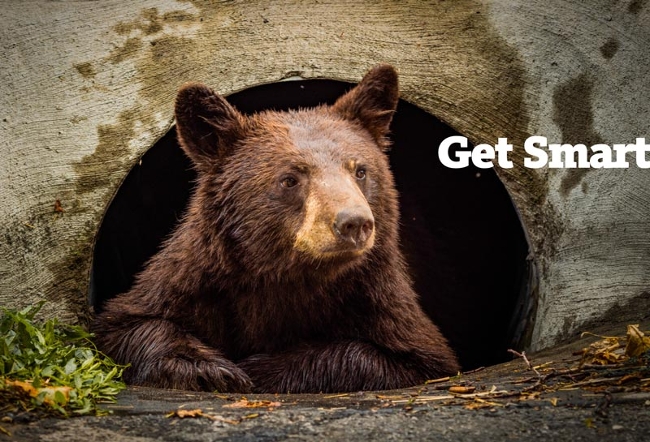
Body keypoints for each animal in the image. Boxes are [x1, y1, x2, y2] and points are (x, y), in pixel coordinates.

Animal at [93, 64, 459, 393]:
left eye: (360, 170)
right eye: (290, 178)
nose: (354, 222)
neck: (286, 274)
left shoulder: (377, 298)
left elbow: (406, 358)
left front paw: (259, 369)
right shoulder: (195, 281)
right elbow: (131, 324)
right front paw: (211, 371)